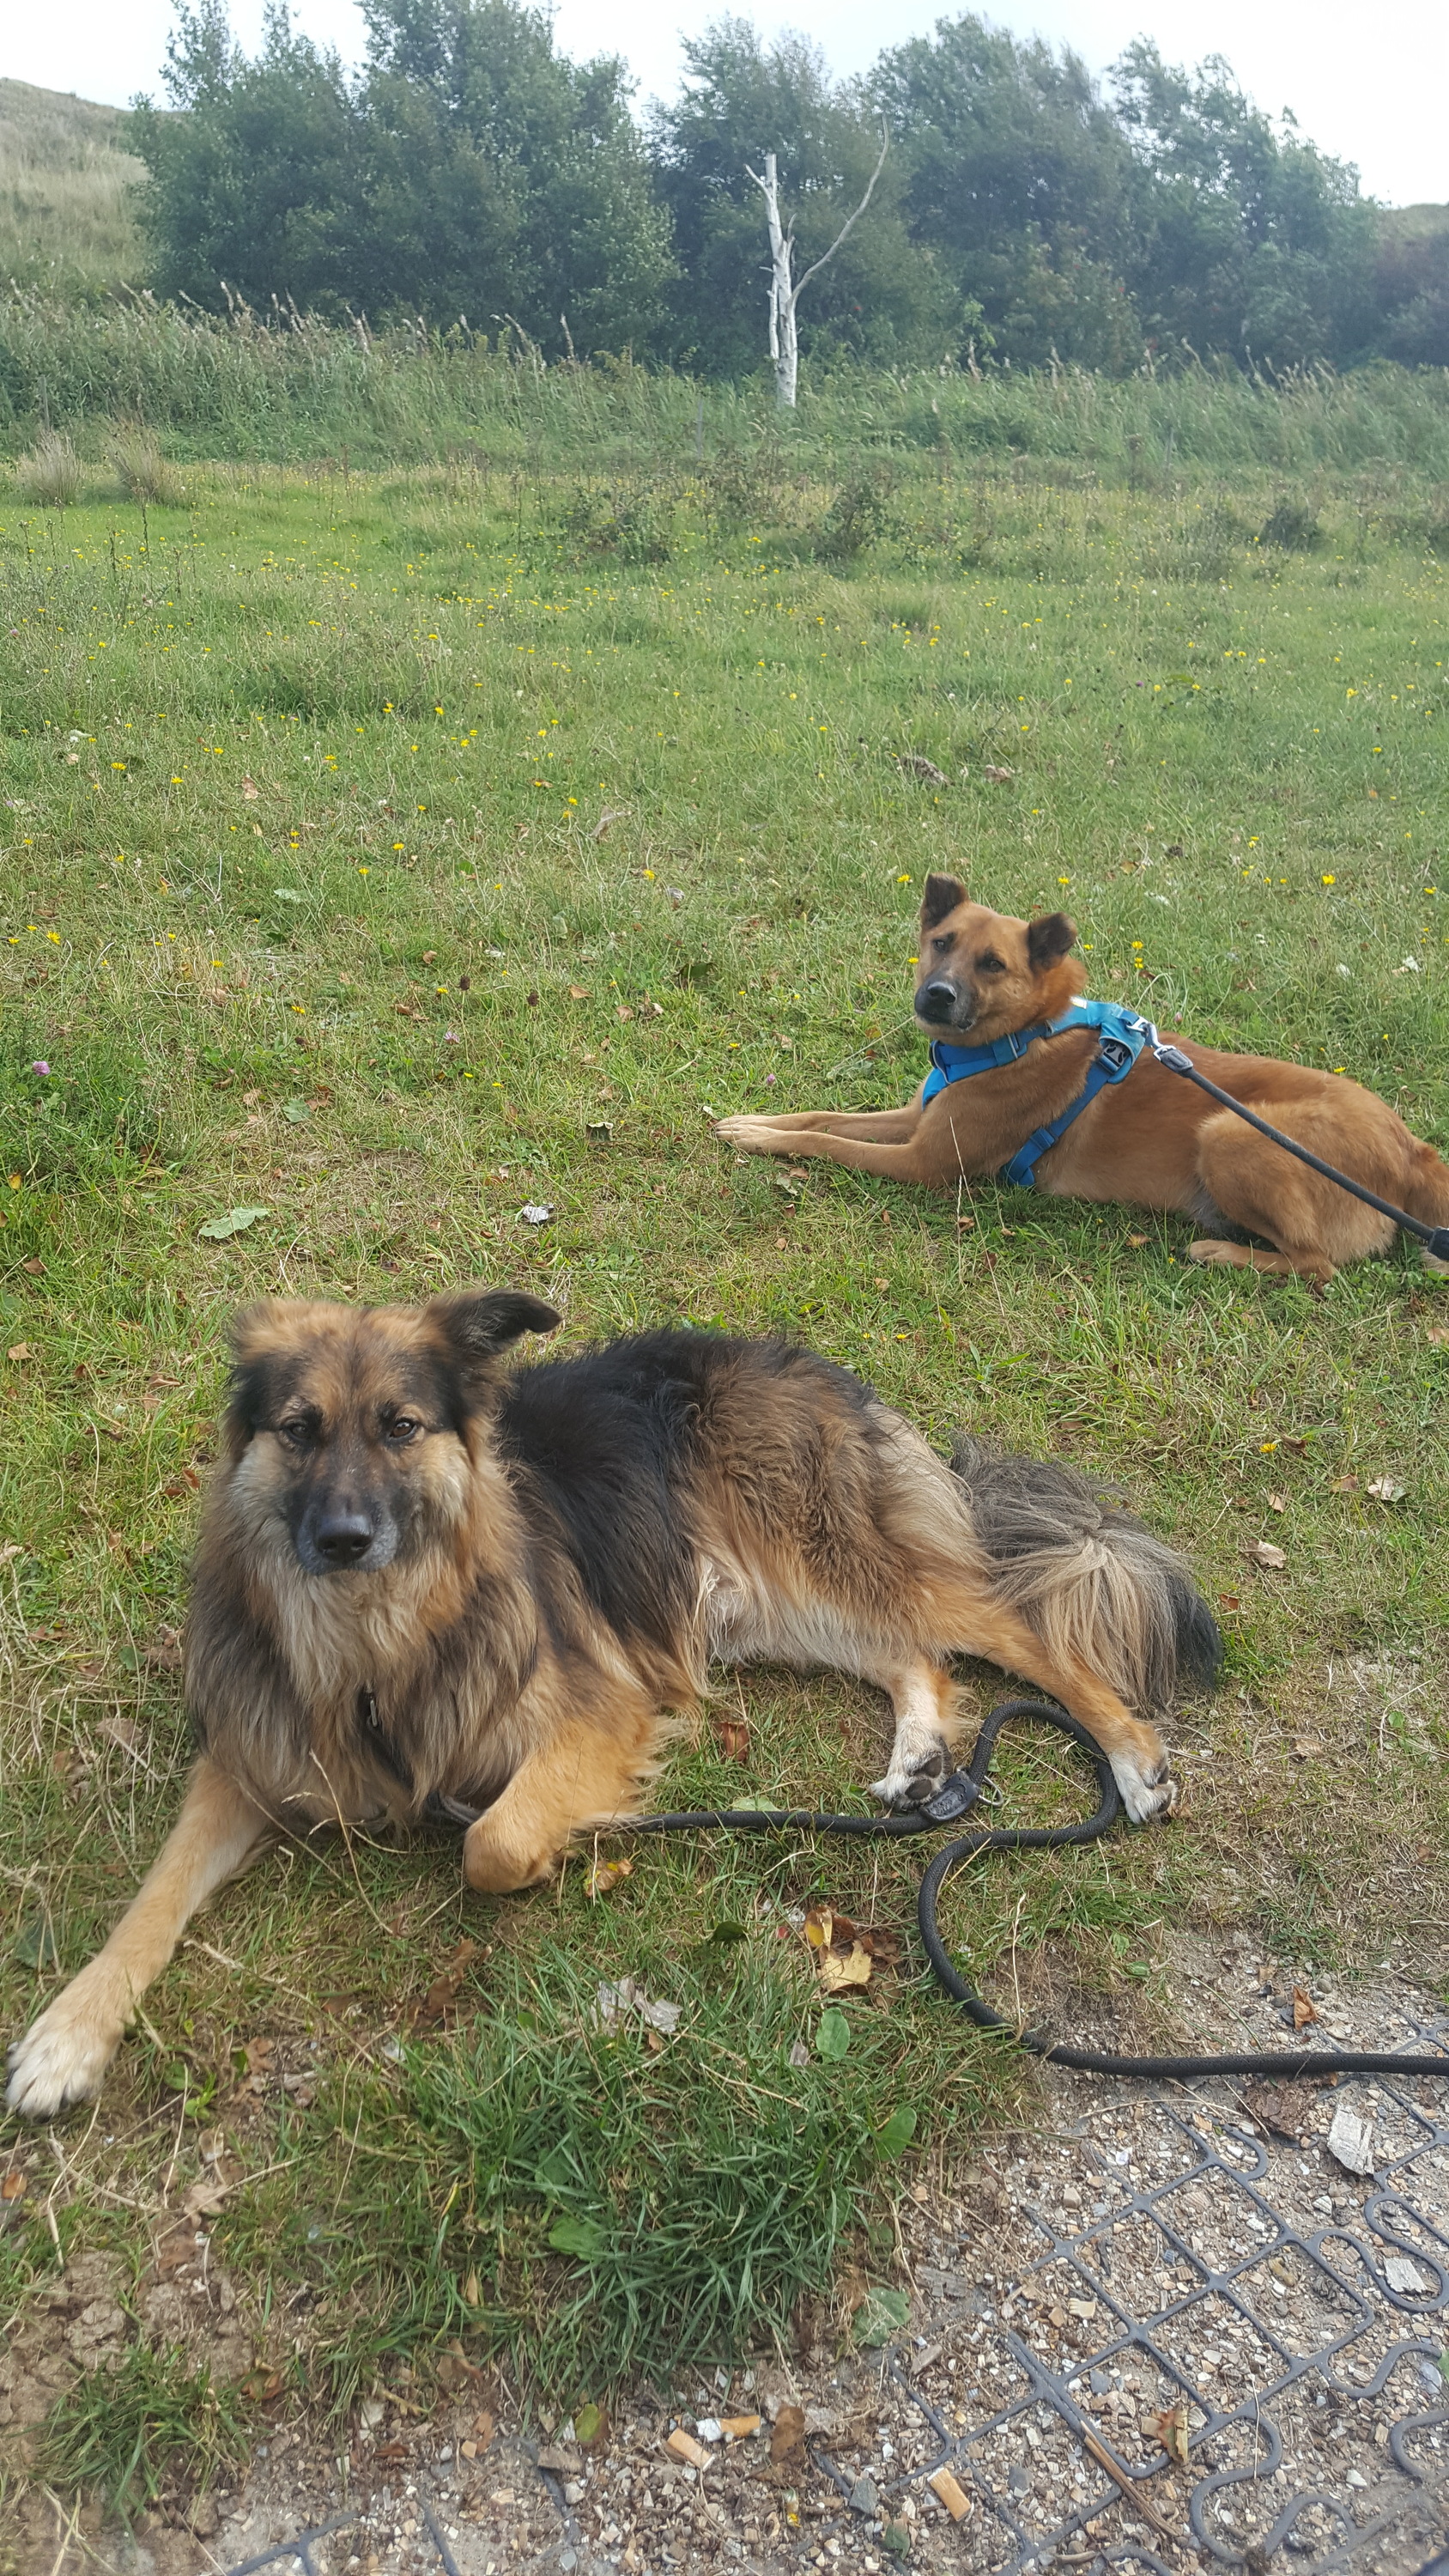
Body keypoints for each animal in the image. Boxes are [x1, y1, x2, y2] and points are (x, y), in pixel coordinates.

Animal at [8, 1288, 1225, 2112]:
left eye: (401, 1425)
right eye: (297, 1429)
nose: (343, 1540)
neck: (375, 1637)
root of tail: (803, 1365)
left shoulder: (597, 1711)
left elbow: (489, 1842)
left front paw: (555, 1850)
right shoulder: (253, 1754)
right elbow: (152, 1900)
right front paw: (69, 2034)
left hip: (810, 1564)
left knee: (1011, 1629)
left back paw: (1128, 1759)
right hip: (758, 1600)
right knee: (915, 1659)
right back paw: (920, 1760)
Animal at [715, 871, 1449, 1283]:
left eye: (993, 964)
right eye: (942, 943)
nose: (937, 997)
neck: (1025, 1034)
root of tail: (1413, 1150)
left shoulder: (926, 1163)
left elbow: (826, 1142)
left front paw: (764, 1141)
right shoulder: (918, 1119)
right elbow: (821, 1117)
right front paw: (753, 1122)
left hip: (1231, 1136)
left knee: (1318, 1265)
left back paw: (1225, 1254)